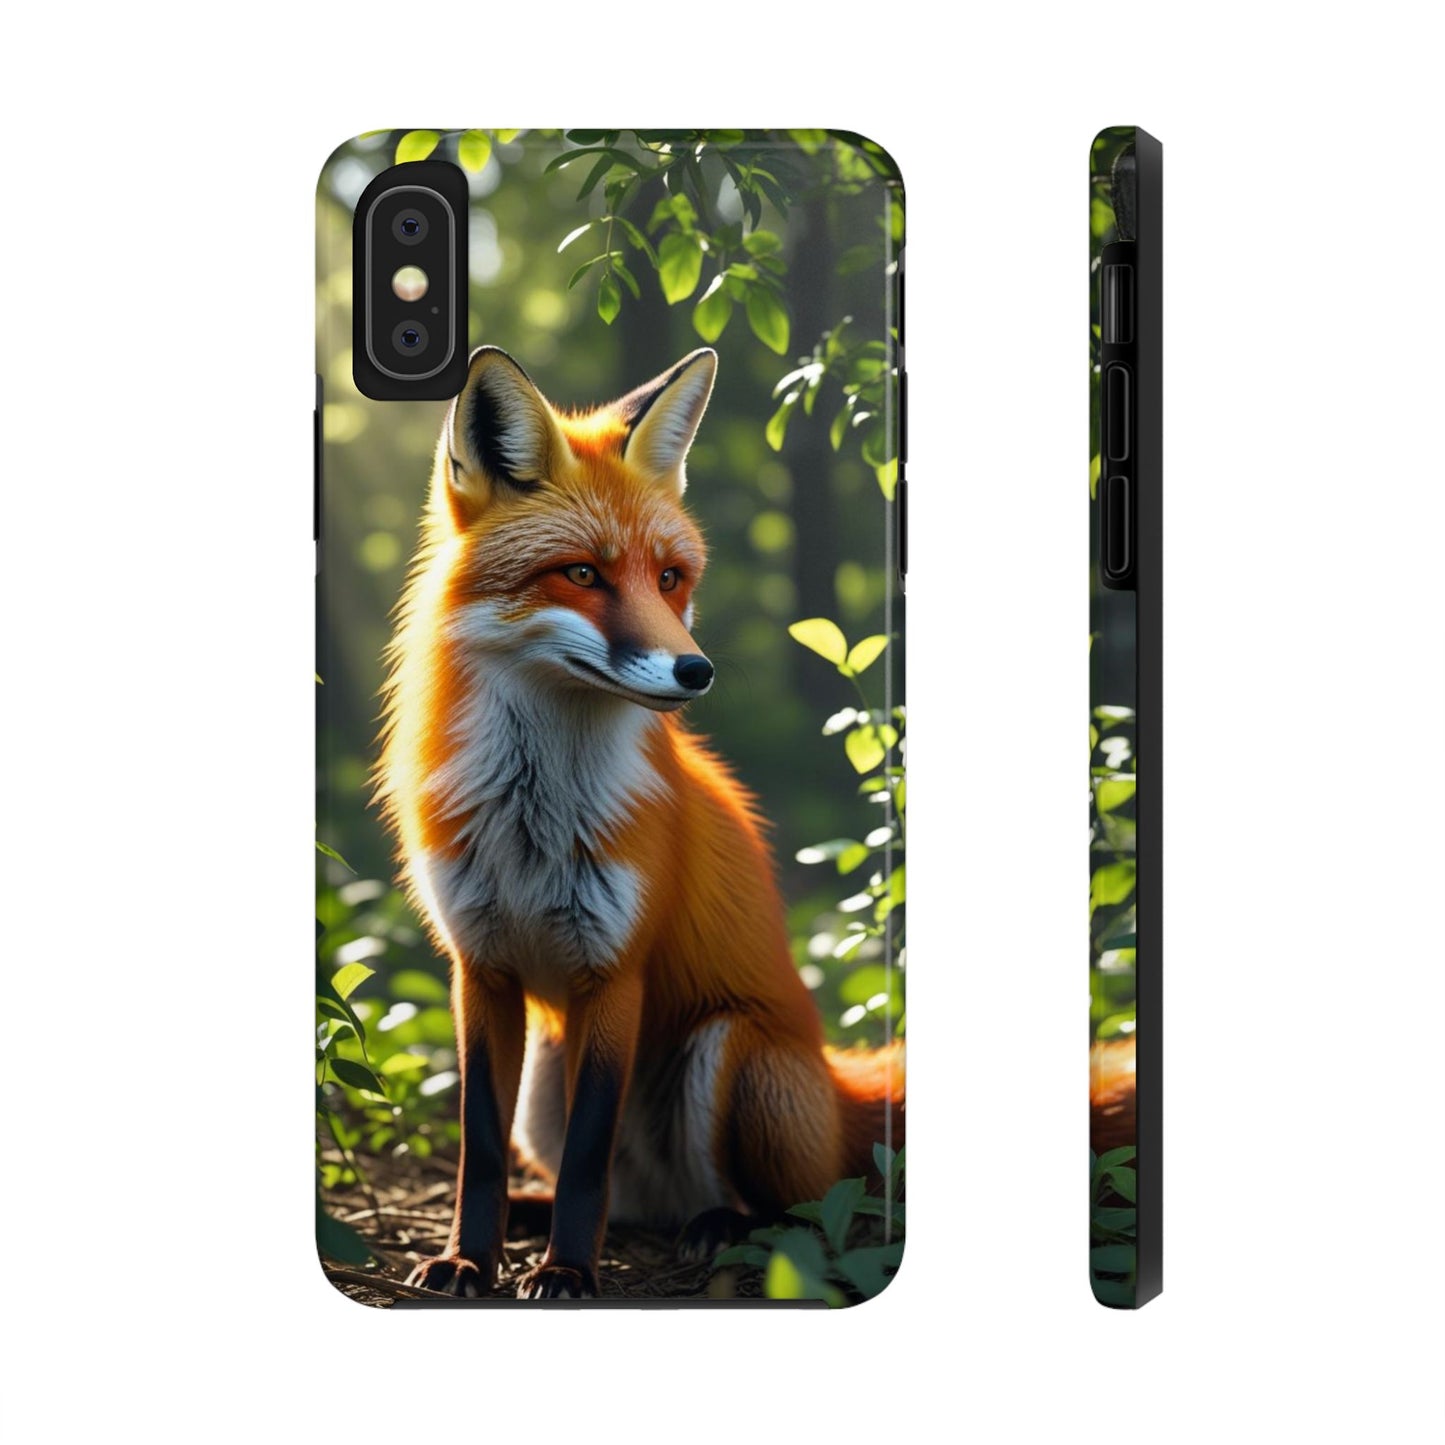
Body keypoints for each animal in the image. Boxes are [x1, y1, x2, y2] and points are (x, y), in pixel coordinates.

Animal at [378, 345, 903, 1299]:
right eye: (582, 573)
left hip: (730, 1053)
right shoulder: (481, 968)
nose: (695, 671)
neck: (533, 820)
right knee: (623, 1200)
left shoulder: (612, 972)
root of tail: (838, 1086)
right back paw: (542, 1215)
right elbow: (480, 1145)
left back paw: (717, 1225)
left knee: (794, 1210)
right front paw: (470, 1256)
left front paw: (567, 1274)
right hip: (545, 1079)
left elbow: (589, 1151)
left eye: (668, 578)